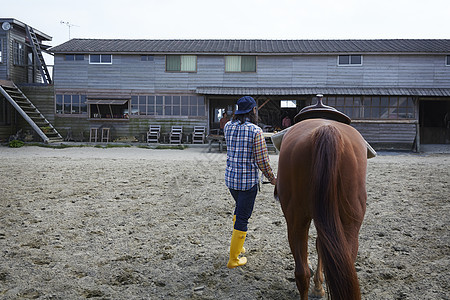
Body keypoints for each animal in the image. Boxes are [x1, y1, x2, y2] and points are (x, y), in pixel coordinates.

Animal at [278, 118, 370, 298]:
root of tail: (327, 130)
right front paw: (319, 286)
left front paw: (318, 286)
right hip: (348, 223)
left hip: (297, 221)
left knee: (303, 273)